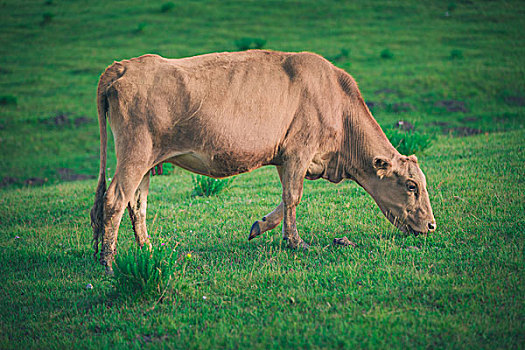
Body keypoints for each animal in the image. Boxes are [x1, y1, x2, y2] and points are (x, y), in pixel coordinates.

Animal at [89, 50, 434, 274]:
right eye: (411, 185)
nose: (432, 225)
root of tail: (124, 66)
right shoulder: (299, 150)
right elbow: (294, 197)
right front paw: (295, 243)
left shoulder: (286, 157)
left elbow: (285, 198)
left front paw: (261, 225)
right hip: (135, 153)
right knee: (114, 199)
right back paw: (108, 262)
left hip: (147, 160)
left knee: (137, 204)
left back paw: (147, 250)